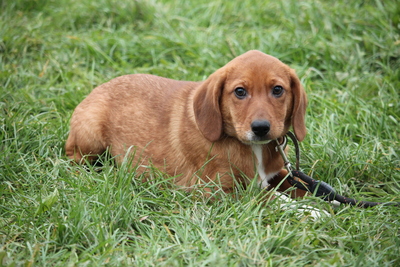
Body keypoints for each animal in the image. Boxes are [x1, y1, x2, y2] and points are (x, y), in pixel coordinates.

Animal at [66, 50, 310, 199]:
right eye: (240, 92)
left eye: (277, 90)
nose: (260, 128)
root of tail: (98, 87)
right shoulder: (218, 190)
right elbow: (272, 199)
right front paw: (309, 212)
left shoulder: (278, 174)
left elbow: (304, 185)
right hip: (90, 135)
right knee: (73, 158)